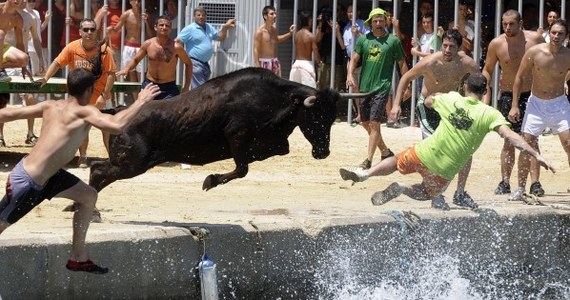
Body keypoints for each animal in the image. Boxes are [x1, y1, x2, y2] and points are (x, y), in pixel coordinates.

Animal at [89, 67, 372, 191]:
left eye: (331, 117)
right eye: (315, 117)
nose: (323, 152)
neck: (274, 99)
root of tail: (118, 113)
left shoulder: (272, 142)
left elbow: (275, 150)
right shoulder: (237, 134)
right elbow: (243, 168)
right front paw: (210, 180)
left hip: (130, 163)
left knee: (98, 170)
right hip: (132, 163)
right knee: (98, 170)